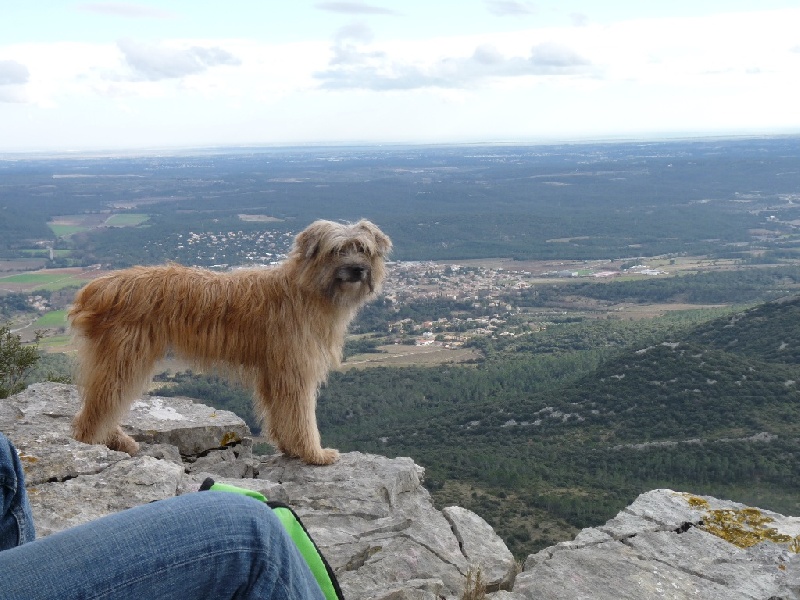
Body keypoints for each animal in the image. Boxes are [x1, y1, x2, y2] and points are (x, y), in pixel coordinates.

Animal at [68, 219, 391, 465]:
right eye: (337, 250)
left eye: (363, 249)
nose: (358, 270)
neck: (306, 289)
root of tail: (99, 286)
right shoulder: (294, 369)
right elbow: (300, 415)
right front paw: (314, 454)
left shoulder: (273, 372)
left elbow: (281, 415)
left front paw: (291, 448)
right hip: (124, 358)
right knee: (99, 407)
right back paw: (94, 444)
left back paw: (116, 439)